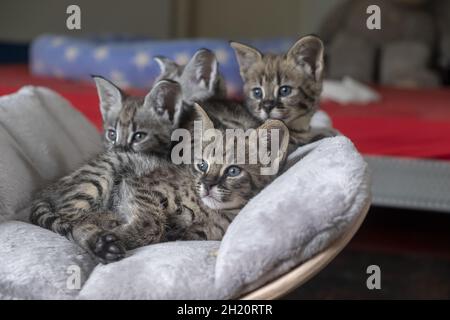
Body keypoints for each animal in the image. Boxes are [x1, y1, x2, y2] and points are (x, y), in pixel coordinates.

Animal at [29, 104, 288, 264]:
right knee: (72, 219)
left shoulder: (192, 236)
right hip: (102, 174)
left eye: (233, 171)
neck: (211, 213)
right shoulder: (140, 185)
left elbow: (163, 231)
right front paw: (122, 232)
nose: (206, 185)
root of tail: (48, 189)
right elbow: (153, 223)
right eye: (202, 165)